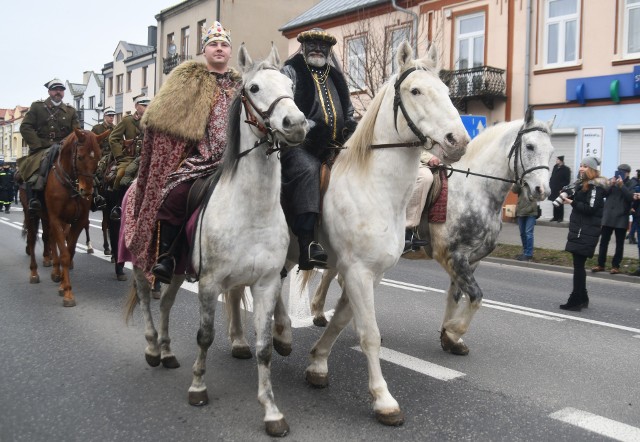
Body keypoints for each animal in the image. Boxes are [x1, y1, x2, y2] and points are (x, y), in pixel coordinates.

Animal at [40, 129, 106, 306]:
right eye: (80, 157)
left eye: (98, 157)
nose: (87, 191)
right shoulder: (55, 219)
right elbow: (64, 254)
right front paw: (68, 292)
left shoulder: (79, 221)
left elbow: (69, 252)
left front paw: (64, 285)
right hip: (45, 217)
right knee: (49, 238)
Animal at [126, 43, 308, 436]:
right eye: (254, 88)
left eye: (290, 84)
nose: (297, 124)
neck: (251, 212)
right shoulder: (210, 283)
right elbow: (205, 335)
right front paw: (198, 388)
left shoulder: (267, 283)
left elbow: (264, 347)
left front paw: (271, 411)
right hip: (143, 262)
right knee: (148, 300)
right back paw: (152, 349)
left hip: (178, 271)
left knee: (166, 304)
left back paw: (167, 352)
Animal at [228, 41, 468, 428]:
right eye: (416, 91)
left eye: (447, 92)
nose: (457, 141)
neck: (373, 185)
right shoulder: (357, 271)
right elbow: (369, 334)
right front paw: (384, 400)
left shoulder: (369, 273)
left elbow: (341, 320)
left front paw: (317, 364)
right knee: (236, 291)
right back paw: (239, 341)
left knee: (273, 289)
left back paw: (282, 333)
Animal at [310, 106, 556, 356]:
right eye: (530, 146)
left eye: (552, 151)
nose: (541, 191)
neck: (474, 191)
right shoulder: (454, 257)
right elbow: (476, 297)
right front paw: (454, 330)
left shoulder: (471, 260)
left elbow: (455, 297)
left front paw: (449, 339)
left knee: (334, 275)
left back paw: (323, 313)